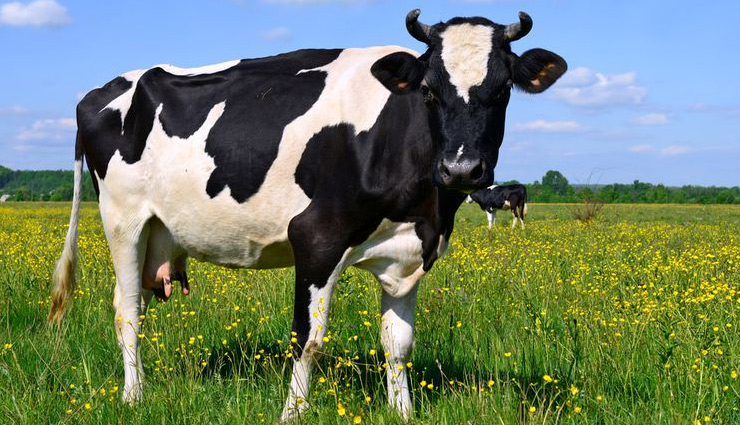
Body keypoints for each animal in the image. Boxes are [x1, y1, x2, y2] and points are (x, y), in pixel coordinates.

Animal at [48, 9, 565, 421]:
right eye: (429, 90)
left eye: (503, 89)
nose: (461, 167)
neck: (426, 209)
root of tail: (105, 89)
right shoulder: (316, 239)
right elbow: (307, 338)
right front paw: (292, 412)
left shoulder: (406, 252)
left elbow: (398, 342)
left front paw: (403, 411)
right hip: (123, 221)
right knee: (127, 311)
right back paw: (133, 396)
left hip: (158, 229)